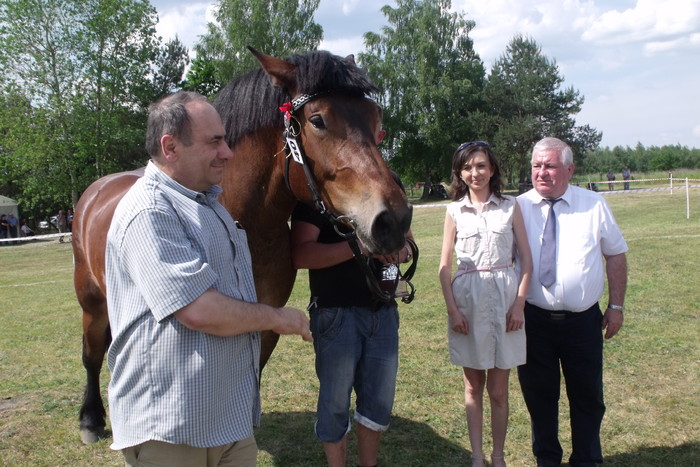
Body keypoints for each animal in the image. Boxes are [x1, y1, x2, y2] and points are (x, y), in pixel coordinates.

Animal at [72, 48, 410, 446]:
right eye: (318, 120)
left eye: (376, 119)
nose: (394, 220)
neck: (242, 220)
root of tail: (97, 190)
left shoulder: (265, 323)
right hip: (91, 300)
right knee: (93, 354)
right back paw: (91, 419)